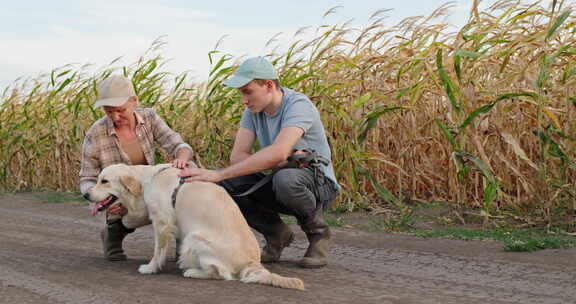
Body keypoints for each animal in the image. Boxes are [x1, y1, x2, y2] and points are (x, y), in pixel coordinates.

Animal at [85, 163, 304, 290]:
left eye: (104, 181)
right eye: (98, 179)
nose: (86, 194)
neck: (148, 179)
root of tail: (253, 262)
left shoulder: (162, 221)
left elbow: (158, 250)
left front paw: (151, 268)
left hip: (196, 237)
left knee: (222, 274)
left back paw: (192, 271)